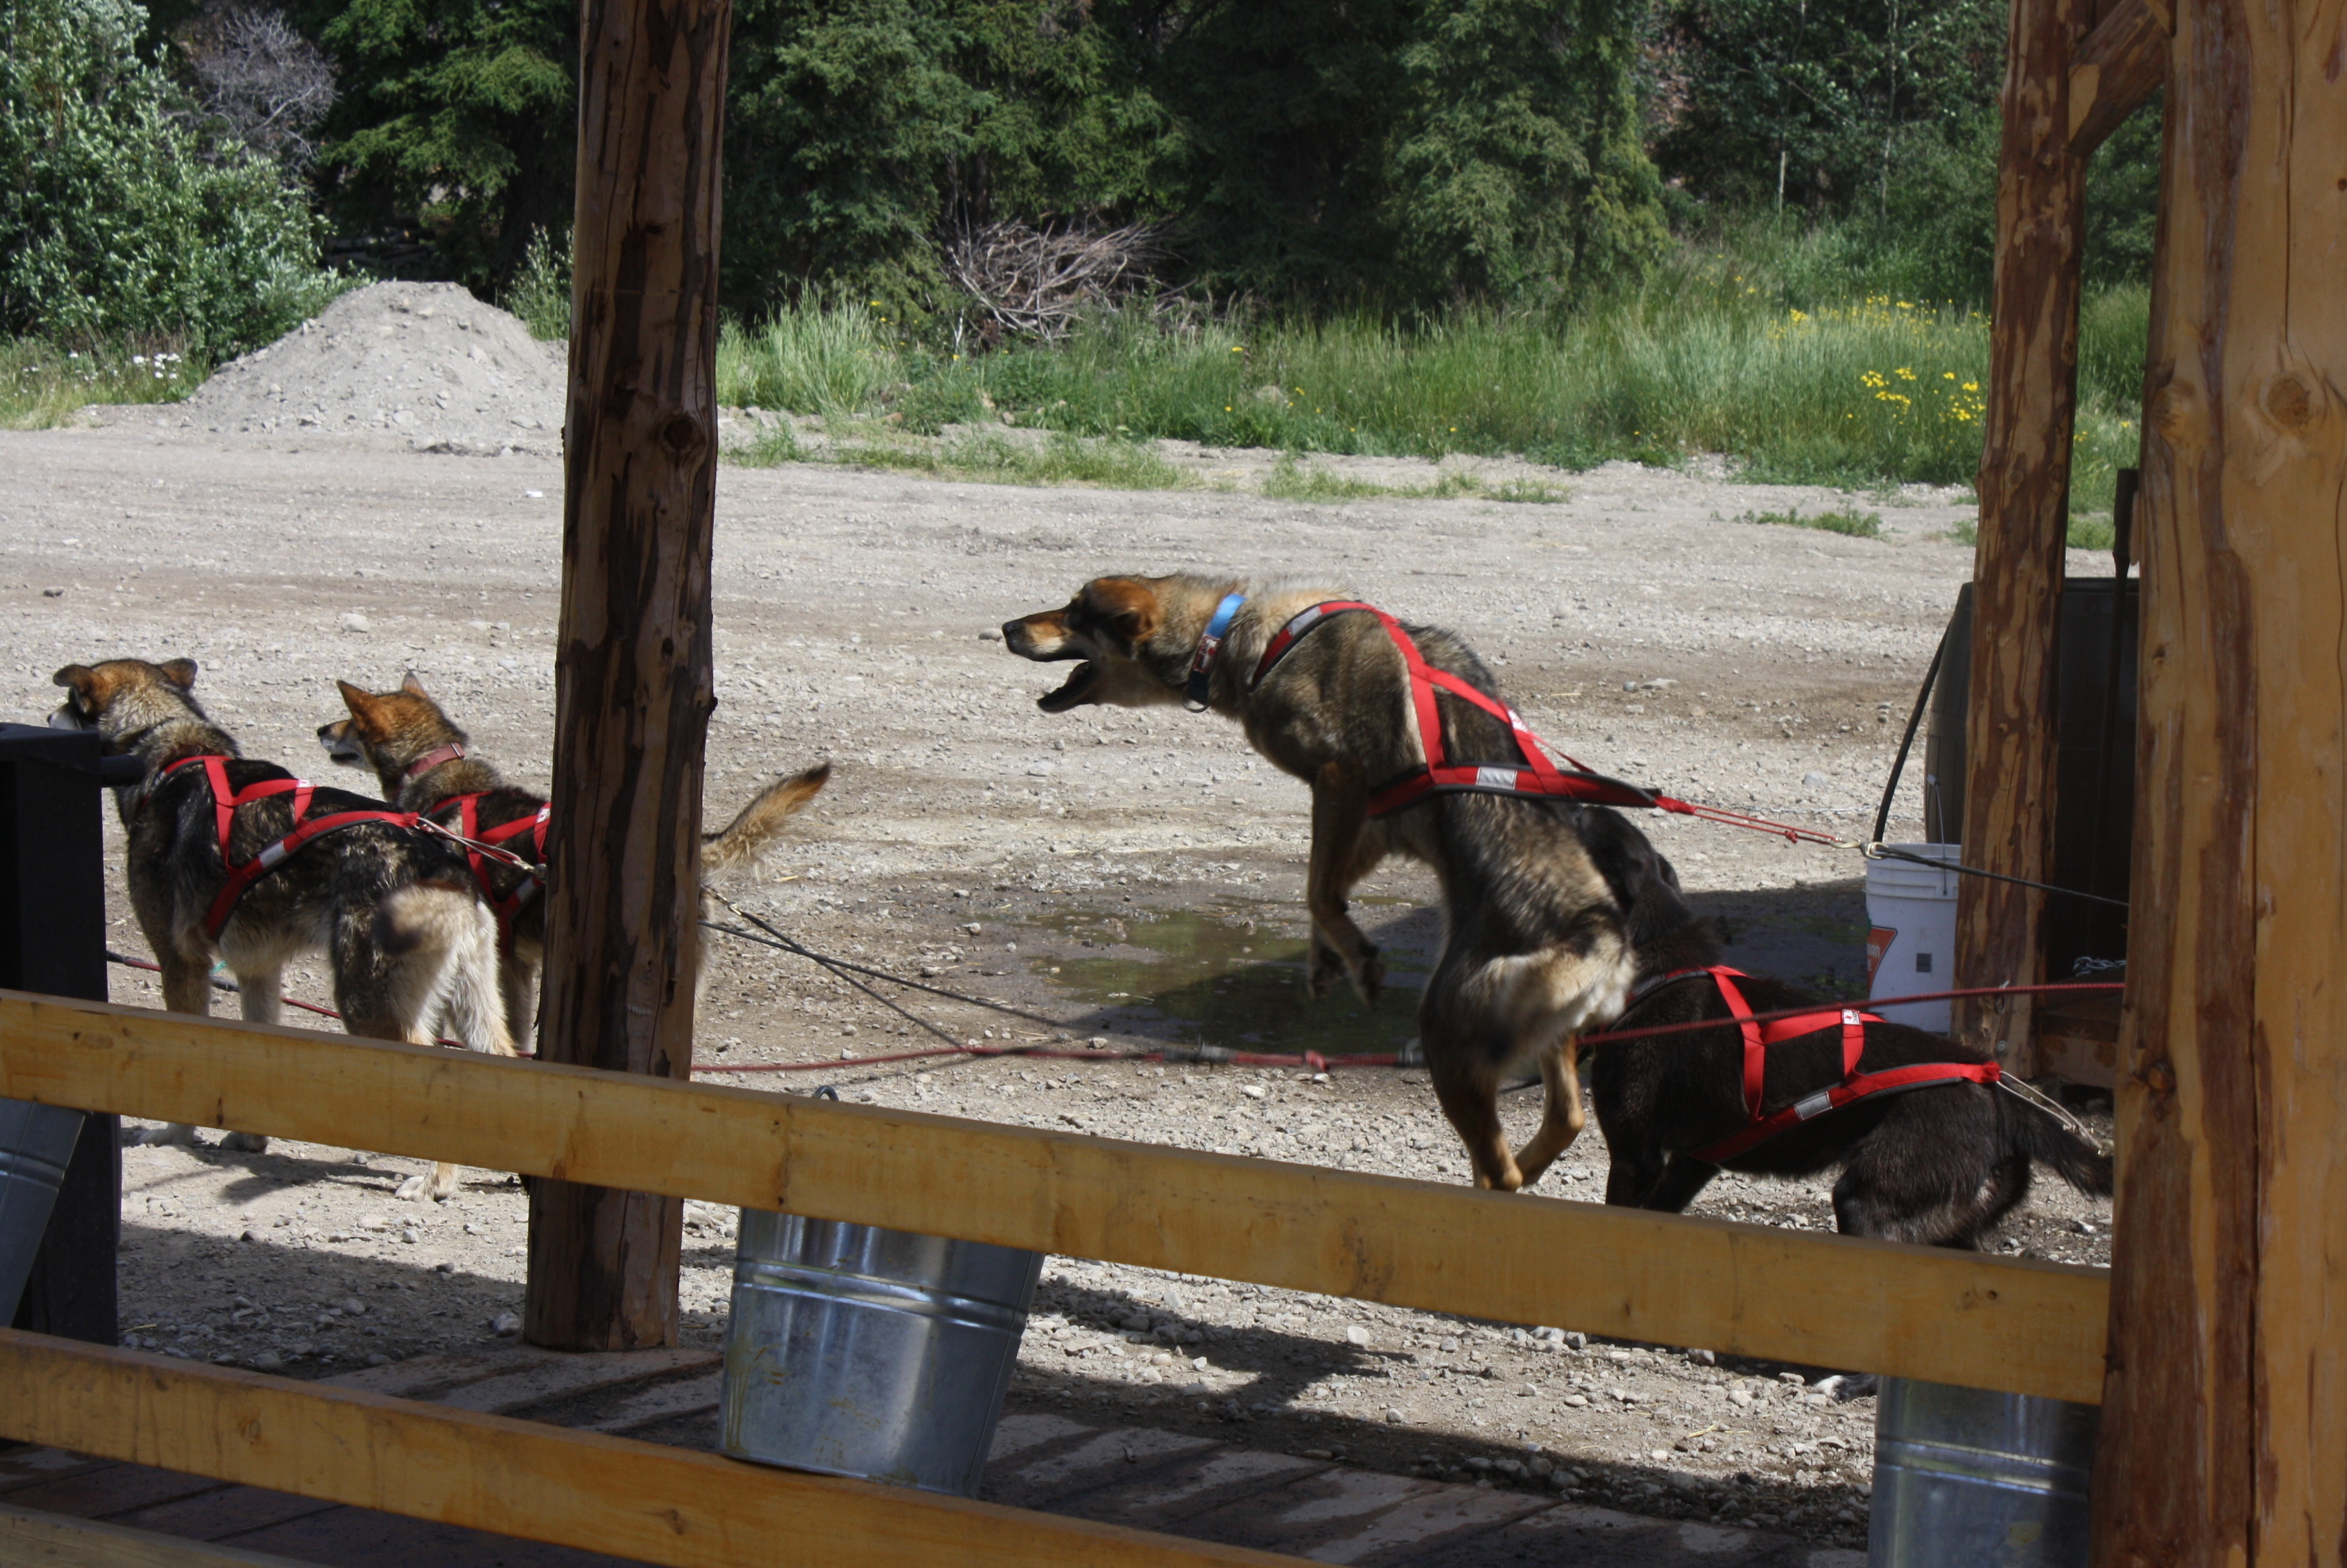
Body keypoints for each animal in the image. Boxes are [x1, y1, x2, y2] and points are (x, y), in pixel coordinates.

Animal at [50, 658, 515, 1202]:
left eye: (67, 702)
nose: (47, 716)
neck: (172, 753)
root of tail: (443, 864)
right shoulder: (258, 971)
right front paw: (249, 1138)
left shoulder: (180, 963)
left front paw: (174, 1133)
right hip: (470, 1004)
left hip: (366, 1002)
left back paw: (435, 1179)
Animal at [1003, 574, 1635, 1191]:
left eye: (1075, 611)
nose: (1006, 627)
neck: (1229, 635)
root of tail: (1597, 937)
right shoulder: (1374, 819)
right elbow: (1324, 891)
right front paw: (1329, 957)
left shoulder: (1339, 779)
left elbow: (1317, 890)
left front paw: (1356, 958)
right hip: (1546, 1043)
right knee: (1565, 1120)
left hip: (1447, 1043)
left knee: (1499, 1171)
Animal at [1572, 804, 2113, 1246]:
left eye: (1577, 820)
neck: (1659, 966)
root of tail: (1998, 1095)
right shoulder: (1692, 1161)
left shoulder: (1634, 1156)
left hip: (1866, 1205)